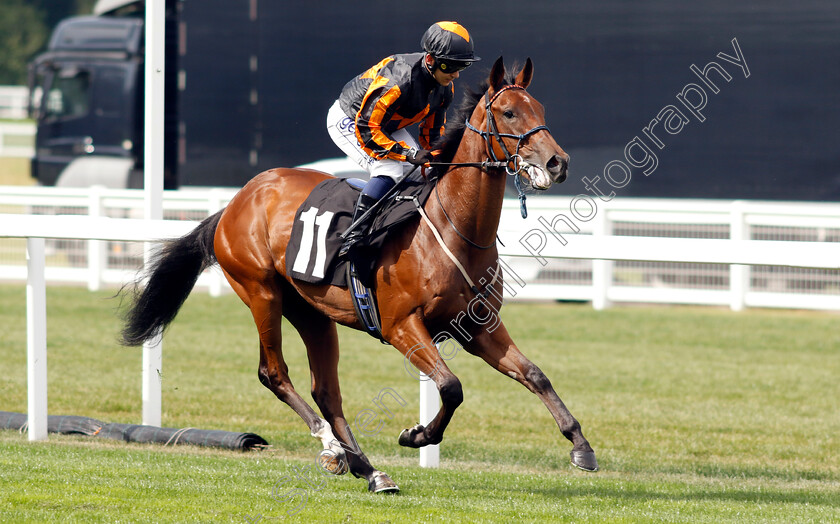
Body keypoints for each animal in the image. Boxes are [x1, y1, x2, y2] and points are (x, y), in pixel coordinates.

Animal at [123, 58, 596, 496]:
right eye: (510, 113)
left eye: (540, 107)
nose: (558, 163)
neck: (450, 230)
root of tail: (237, 201)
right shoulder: (402, 326)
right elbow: (451, 386)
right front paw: (417, 435)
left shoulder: (480, 326)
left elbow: (534, 375)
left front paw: (581, 447)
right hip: (261, 293)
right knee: (273, 373)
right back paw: (332, 449)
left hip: (312, 312)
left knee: (327, 391)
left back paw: (368, 470)